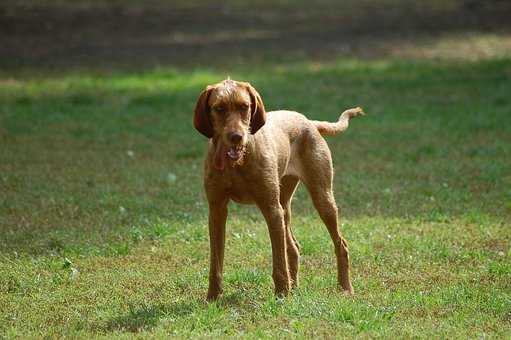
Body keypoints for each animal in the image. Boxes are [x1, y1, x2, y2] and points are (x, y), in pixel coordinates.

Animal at [193, 79, 364, 300]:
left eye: (244, 107)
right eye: (219, 108)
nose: (236, 137)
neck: (237, 163)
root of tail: (309, 121)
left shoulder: (271, 209)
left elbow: (279, 263)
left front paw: (282, 295)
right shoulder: (216, 210)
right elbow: (216, 263)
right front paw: (212, 297)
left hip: (321, 198)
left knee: (340, 244)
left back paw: (345, 288)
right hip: (285, 206)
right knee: (294, 247)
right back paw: (296, 287)